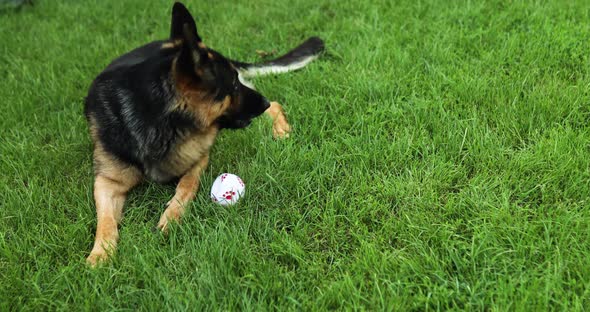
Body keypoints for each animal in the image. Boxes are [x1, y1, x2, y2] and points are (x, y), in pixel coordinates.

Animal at [84, 1, 326, 266]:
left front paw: (172, 216)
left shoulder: (199, 155)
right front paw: (100, 253)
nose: (261, 101)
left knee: (276, 103)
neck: (156, 119)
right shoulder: (107, 182)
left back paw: (279, 127)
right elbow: (105, 220)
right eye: (232, 86)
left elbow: (187, 185)